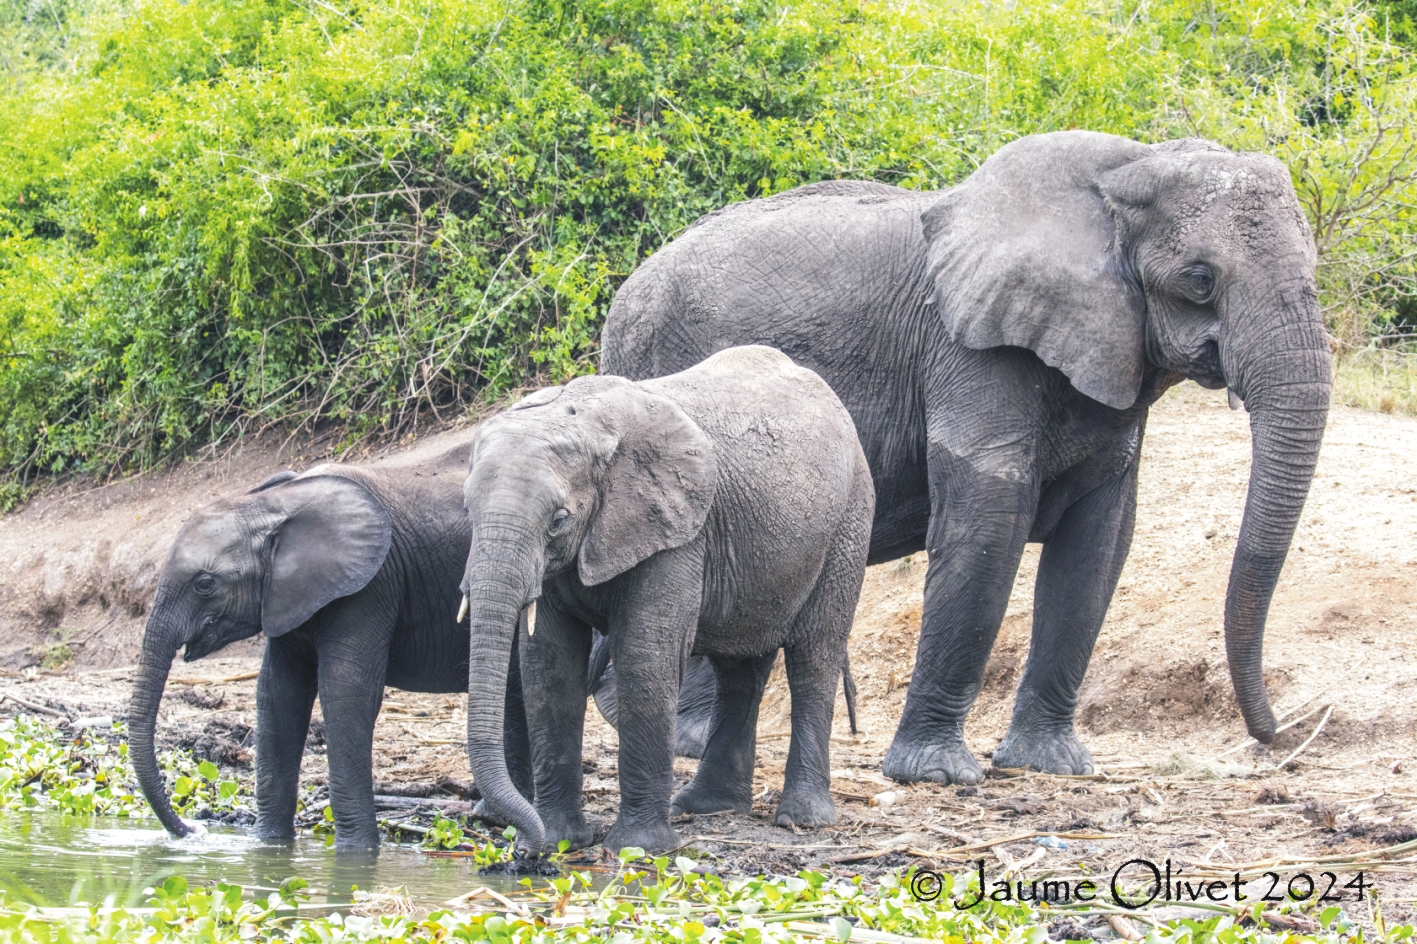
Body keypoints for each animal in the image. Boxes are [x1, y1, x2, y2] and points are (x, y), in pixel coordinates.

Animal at [127, 445, 532, 850]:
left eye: (204, 584)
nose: (194, 830)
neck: (273, 505)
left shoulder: (370, 586)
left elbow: (345, 693)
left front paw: (357, 852)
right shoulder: (288, 597)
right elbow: (278, 695)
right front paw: (268, 845)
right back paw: (497, 816)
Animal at [459, 345, 872, 850]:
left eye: (558, 520)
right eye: (467, 510)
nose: (521, 842)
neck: (585, 421)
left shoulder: (678, 531)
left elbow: (646, 654)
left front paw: (637, 848)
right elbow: (549, 663)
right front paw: (559, 842)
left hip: (849, 521)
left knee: (814, 656)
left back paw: (803, 819)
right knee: (741, 669)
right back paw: (708, 807)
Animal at [603, 128, 1331, 782]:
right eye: (1200, 280)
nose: (1275, 734)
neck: (1131, 167)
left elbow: (1098, 541)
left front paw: (1051, 765)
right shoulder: (968, 347)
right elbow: (989, 522)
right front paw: (937, 774)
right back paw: (684, 740)